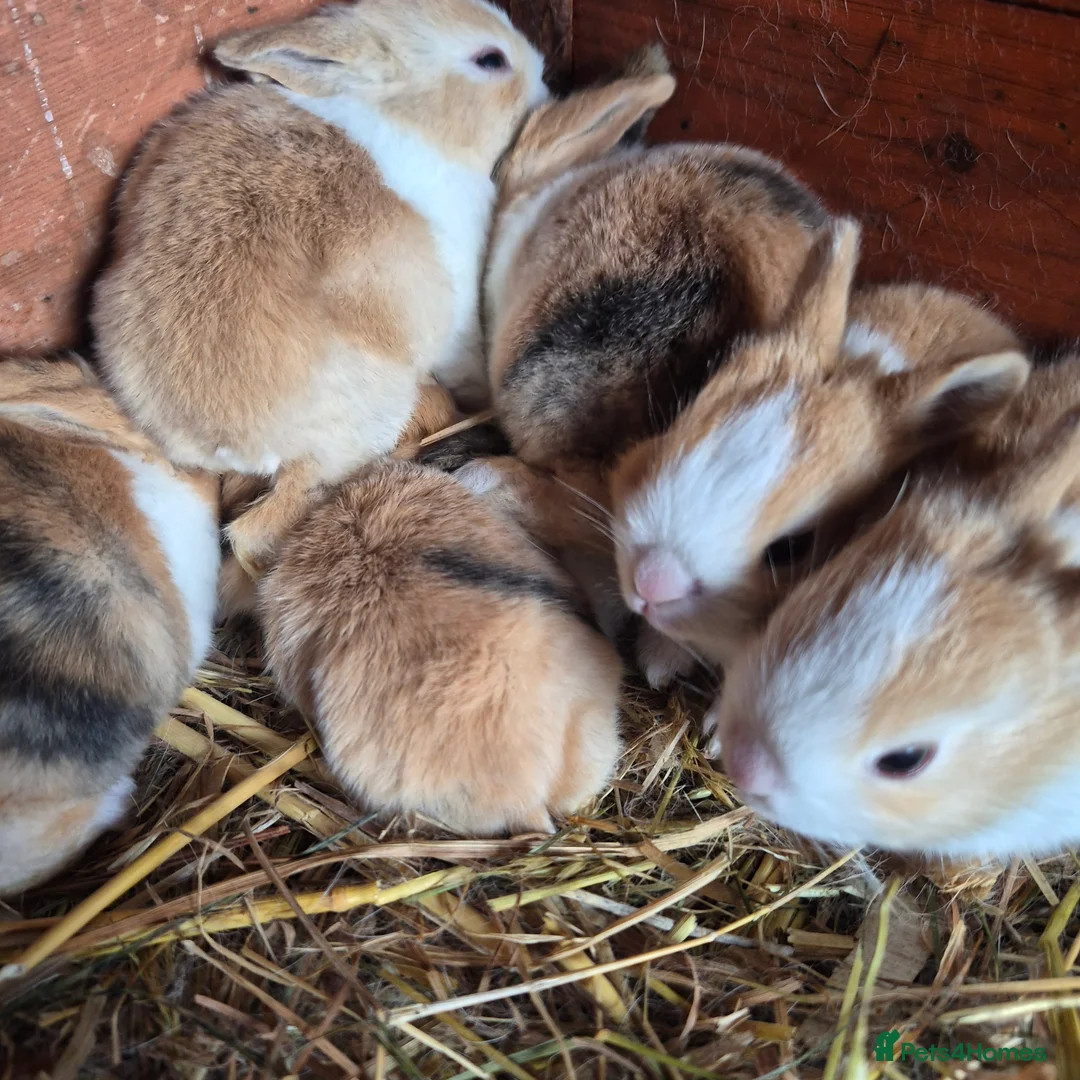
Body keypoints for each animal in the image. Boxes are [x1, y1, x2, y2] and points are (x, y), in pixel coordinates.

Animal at [92, 0, 547, 576]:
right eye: (490, 60)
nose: (545, 81)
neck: (405, 116)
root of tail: (224, 441)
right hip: (361, 426)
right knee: (257, 529)